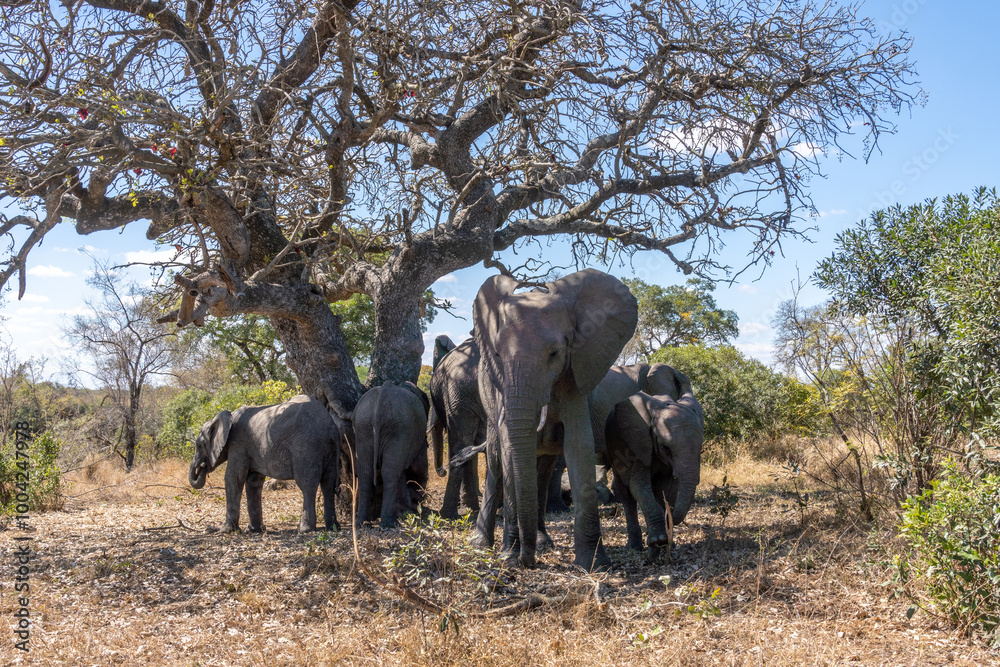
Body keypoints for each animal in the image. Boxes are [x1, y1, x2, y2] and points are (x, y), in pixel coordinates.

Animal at [188, 394, 343, 533]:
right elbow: (253, 481)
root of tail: (331, 428)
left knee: (307, 484)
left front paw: (226, 531)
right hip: (329, 449)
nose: (202, 466)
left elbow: (233, 478)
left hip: (306, 447)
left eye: (199, 446)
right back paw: (333, 527)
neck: (227, 417)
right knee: (328, 483)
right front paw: (254, 530)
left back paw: (306, 529)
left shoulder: (238, 444)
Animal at [352, 381, 431, 529]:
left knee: (365, 473)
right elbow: (419, 465)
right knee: (390, 473)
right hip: (397, 429)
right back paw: (389, 523)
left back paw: (362, 523)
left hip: (363, 428)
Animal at [472, 268, 638, 570]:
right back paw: (481, 544)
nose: (526, 561)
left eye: (554, 354)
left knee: (543, 469)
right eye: (498, 355)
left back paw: (542, 543)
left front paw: (594, 565)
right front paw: (509, 556)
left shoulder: (576, 372)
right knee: (496, 463)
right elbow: (508, 450)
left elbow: (579, 446)